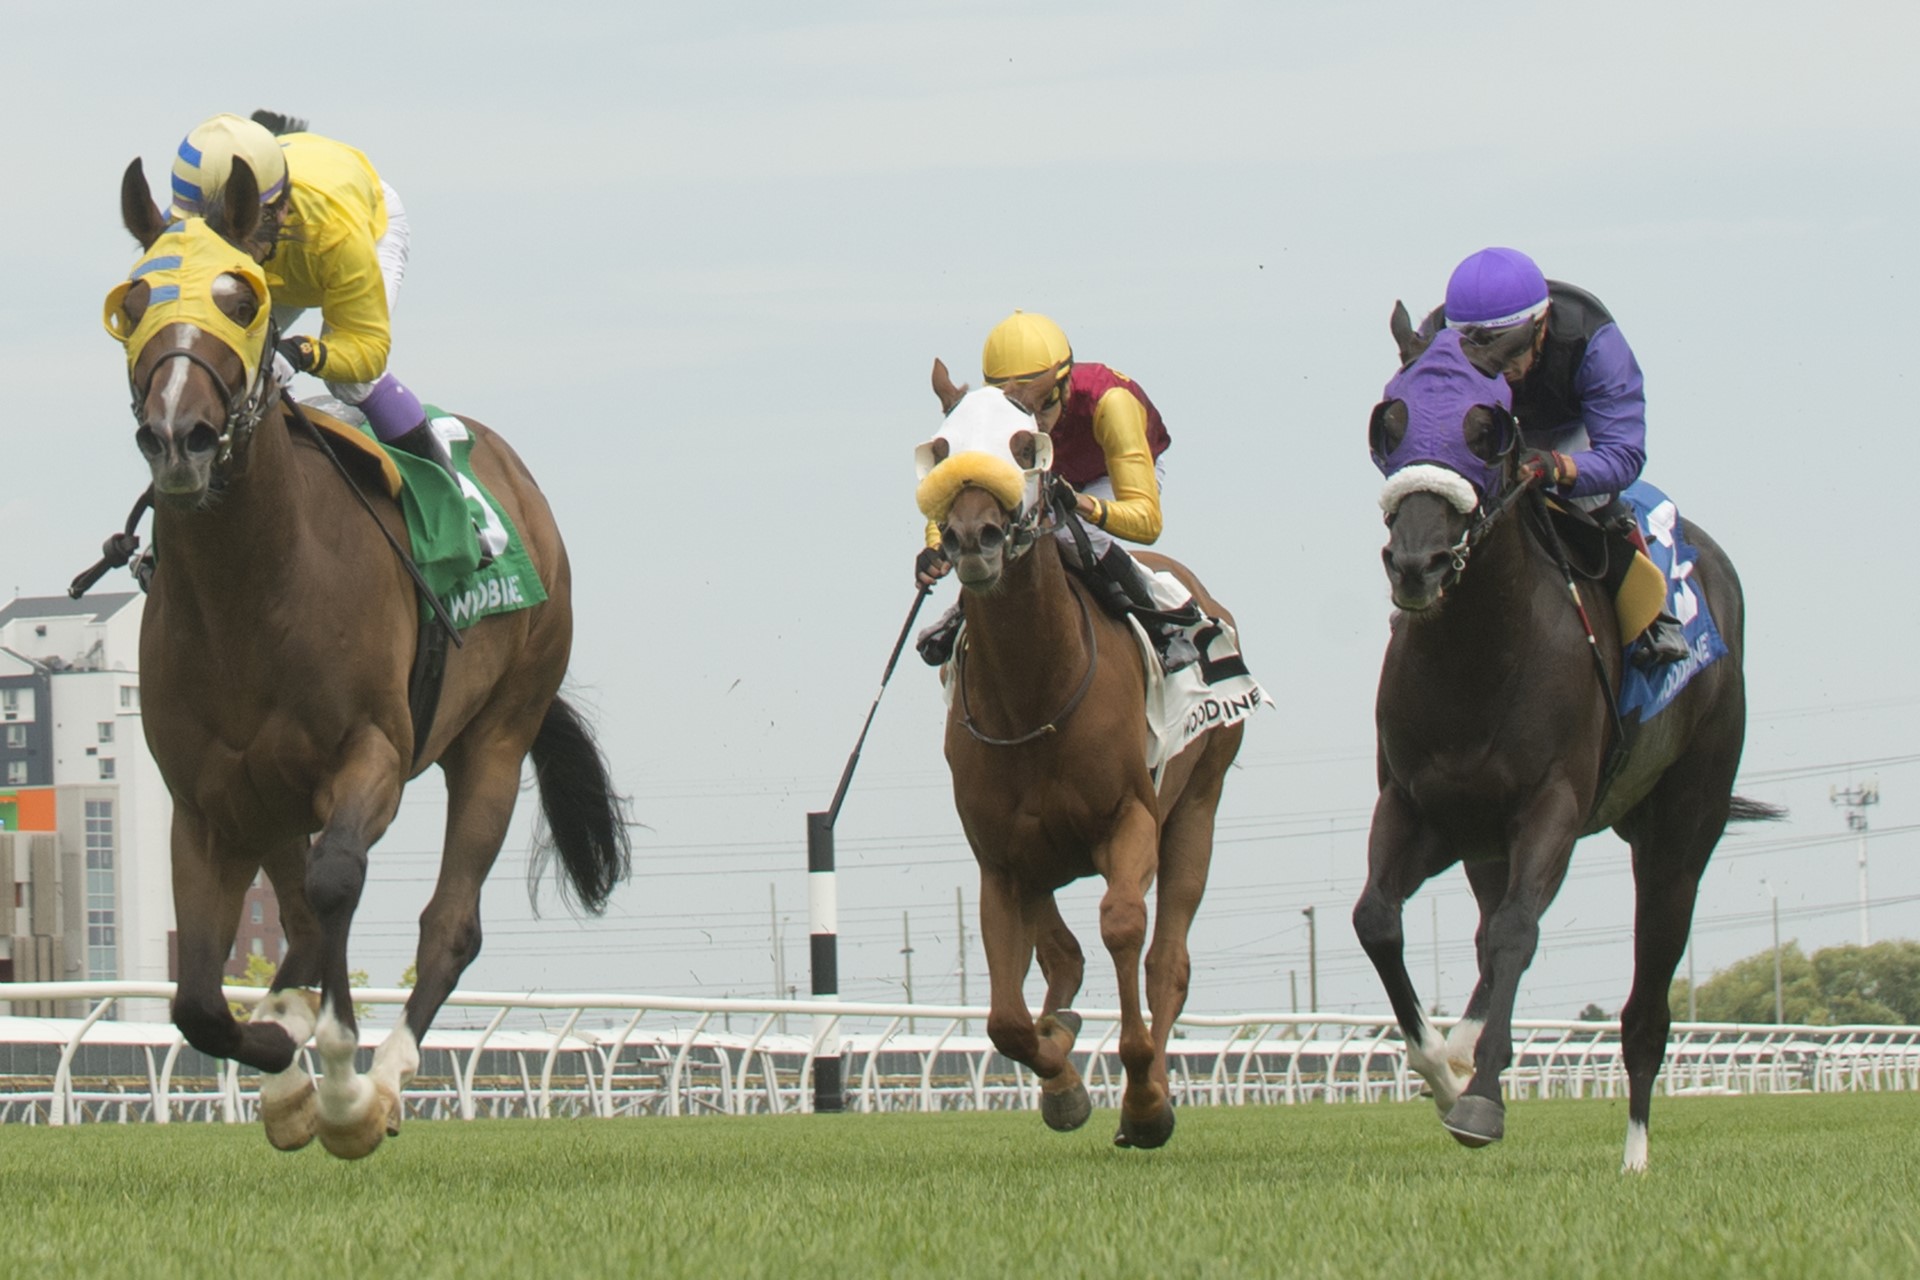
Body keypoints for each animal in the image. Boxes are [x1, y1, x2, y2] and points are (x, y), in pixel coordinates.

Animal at [110, 155, 629, 1159]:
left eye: (241, 298)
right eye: (133, 302)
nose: (179, 438)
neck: (254, 587)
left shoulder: (372, 757)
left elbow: (336, 882)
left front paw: (342, 1085)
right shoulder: (205, 800)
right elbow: (200, 1000)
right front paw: (280, 1054)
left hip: (496, 736)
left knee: (446, 924)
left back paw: (382, 1077)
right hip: (271, 794)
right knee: (299, 915)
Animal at [925, 360, 1251, 1151]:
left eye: (1024, 446)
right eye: (941, 450)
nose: (972, 537)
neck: (1035, 694)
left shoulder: (1129, 819)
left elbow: (1123, 927)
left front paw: (1142, 1099)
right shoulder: (1000, 860)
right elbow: (1006, 1020)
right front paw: (1064, 1085)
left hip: (1198, 805)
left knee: (1167, 959)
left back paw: (1150, 1092)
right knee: (1062, 958)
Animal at [1359, 307, 1774, 1174]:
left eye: (1488, 430)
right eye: (1391, 420)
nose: (1418, 564)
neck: (1478, 653)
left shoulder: (1550, 803)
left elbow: (1521, 930)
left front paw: (1479, 1098)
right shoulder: (1420, 806)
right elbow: (1379, 918)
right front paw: (1444, 1072)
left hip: (1680, 832)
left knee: (1644, 1005)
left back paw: (1635, 1154)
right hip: (1483, 844)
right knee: (1486, 934)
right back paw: (1466, 1051)